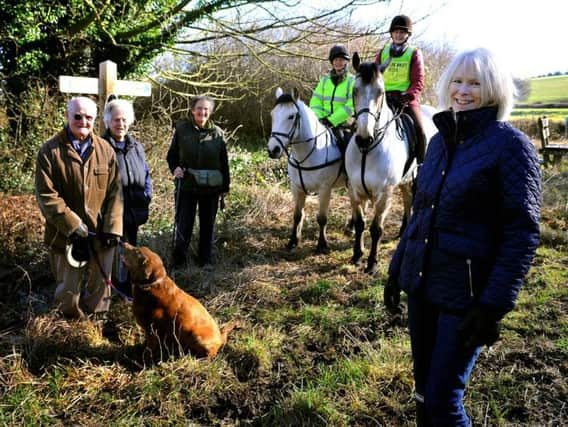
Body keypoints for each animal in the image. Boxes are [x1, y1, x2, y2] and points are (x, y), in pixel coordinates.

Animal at [266, 88, 346, 254]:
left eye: (291, 116)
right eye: (272, 114)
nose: (273, 150)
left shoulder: (325, 190)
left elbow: (322, 218)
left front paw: (322, 244)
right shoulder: (297, 188)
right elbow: (297, 215)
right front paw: (293, 242)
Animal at [346, 53, 434, 274]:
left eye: (381, 92)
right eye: (355, 91)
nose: (363, 138)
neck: (367, 151)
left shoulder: (384, 193)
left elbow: (376, 229)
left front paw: (372, 263)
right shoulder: (354, 190)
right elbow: (360, 224)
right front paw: (357, 256)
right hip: (404, 181)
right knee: (407, 199)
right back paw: (403, 229)